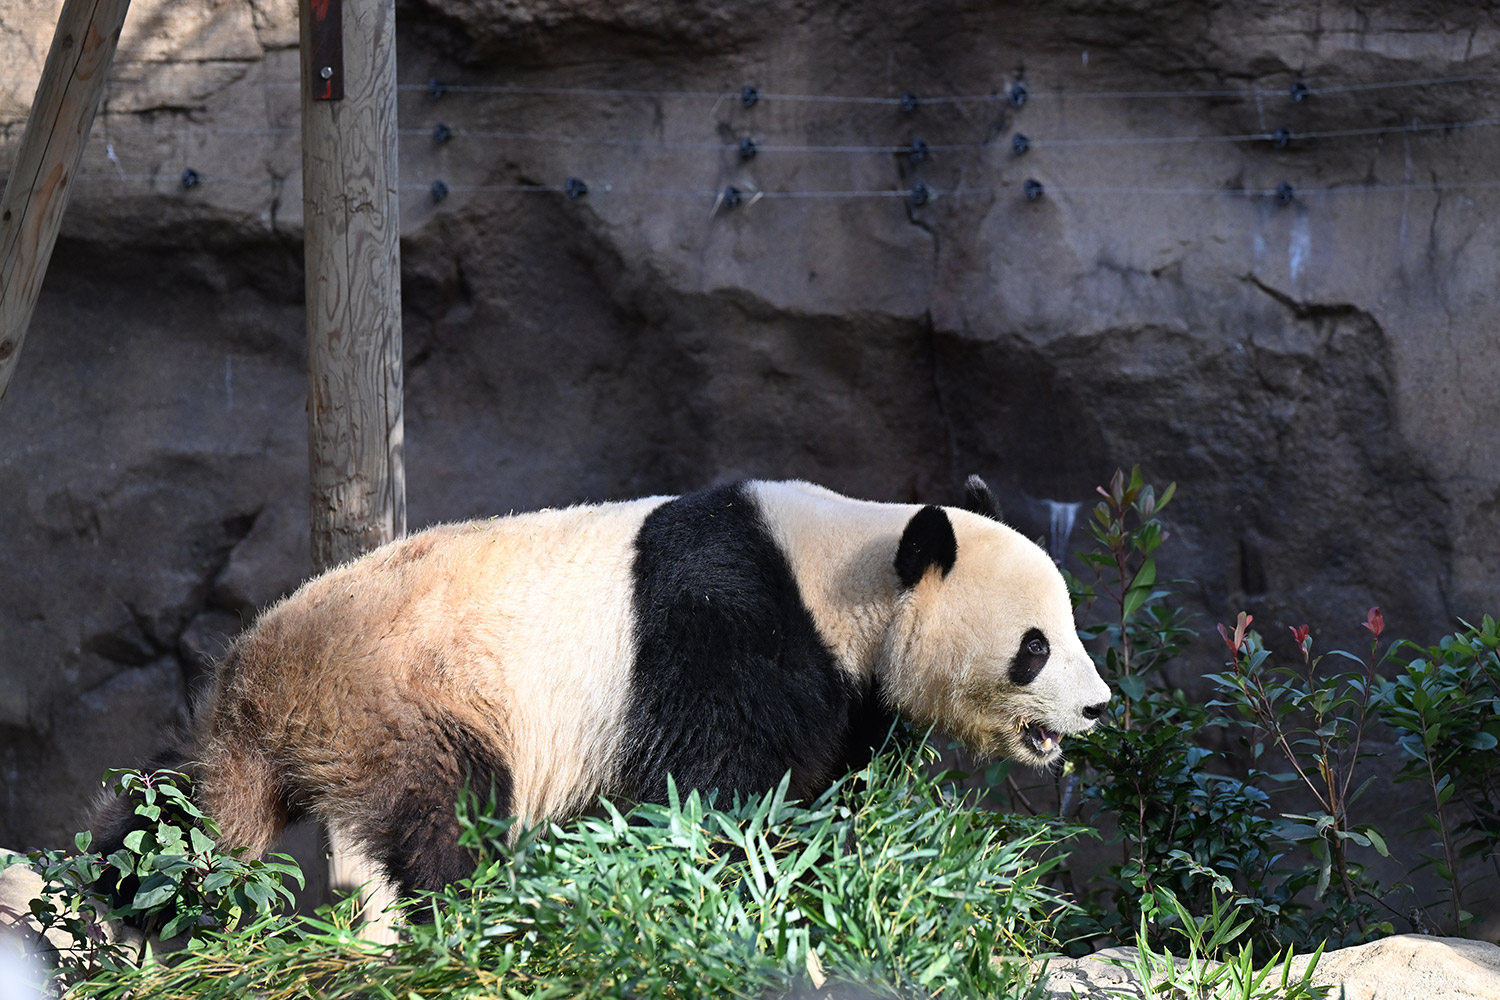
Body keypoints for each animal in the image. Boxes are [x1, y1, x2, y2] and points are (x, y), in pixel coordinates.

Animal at [87, 476, 1110, 899]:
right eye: (1036, 647)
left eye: (1069, 630)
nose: (1098, 707)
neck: (849, 574)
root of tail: (257, 680)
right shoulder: (727, 630)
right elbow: (713, 790)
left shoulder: (843, 688)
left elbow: (828, 789)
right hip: (406, 697)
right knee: (449, 817)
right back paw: (482, 912)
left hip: (288, 730)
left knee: (175, 812)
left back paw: (123, 891)